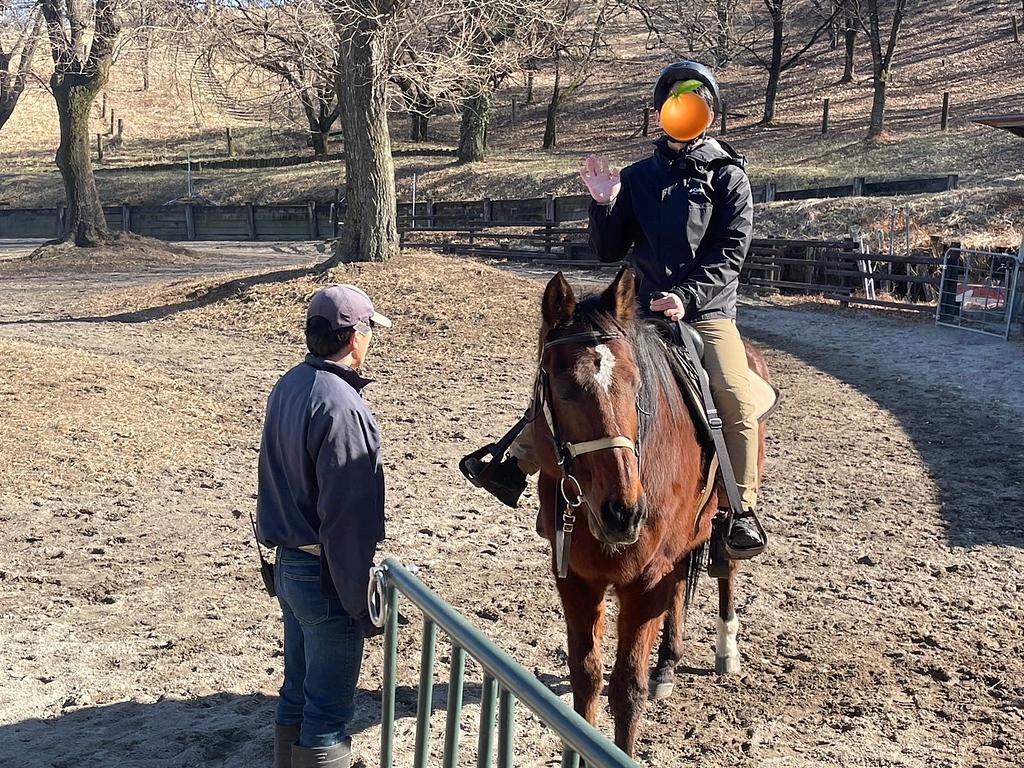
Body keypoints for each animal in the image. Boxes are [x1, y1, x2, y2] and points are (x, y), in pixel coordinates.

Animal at [531, 266, 770, 757]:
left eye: (635, 382)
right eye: (562, 388)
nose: (623, 513)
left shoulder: (644, 583)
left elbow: (627, 690)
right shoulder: (576, 579)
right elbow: (586, 679)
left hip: (725, 518)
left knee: (726, 571)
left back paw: (726, 649)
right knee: (680, 586)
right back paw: (667, 664)